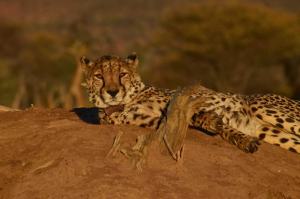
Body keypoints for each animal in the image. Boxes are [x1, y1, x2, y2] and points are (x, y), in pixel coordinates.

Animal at [81, 53, 300, 153]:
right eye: (99, 76)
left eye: (122, 74)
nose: (112, 92)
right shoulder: (156, 123)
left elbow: (208, 117)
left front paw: (241, 138)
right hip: (274, 133)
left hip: (263, 108)